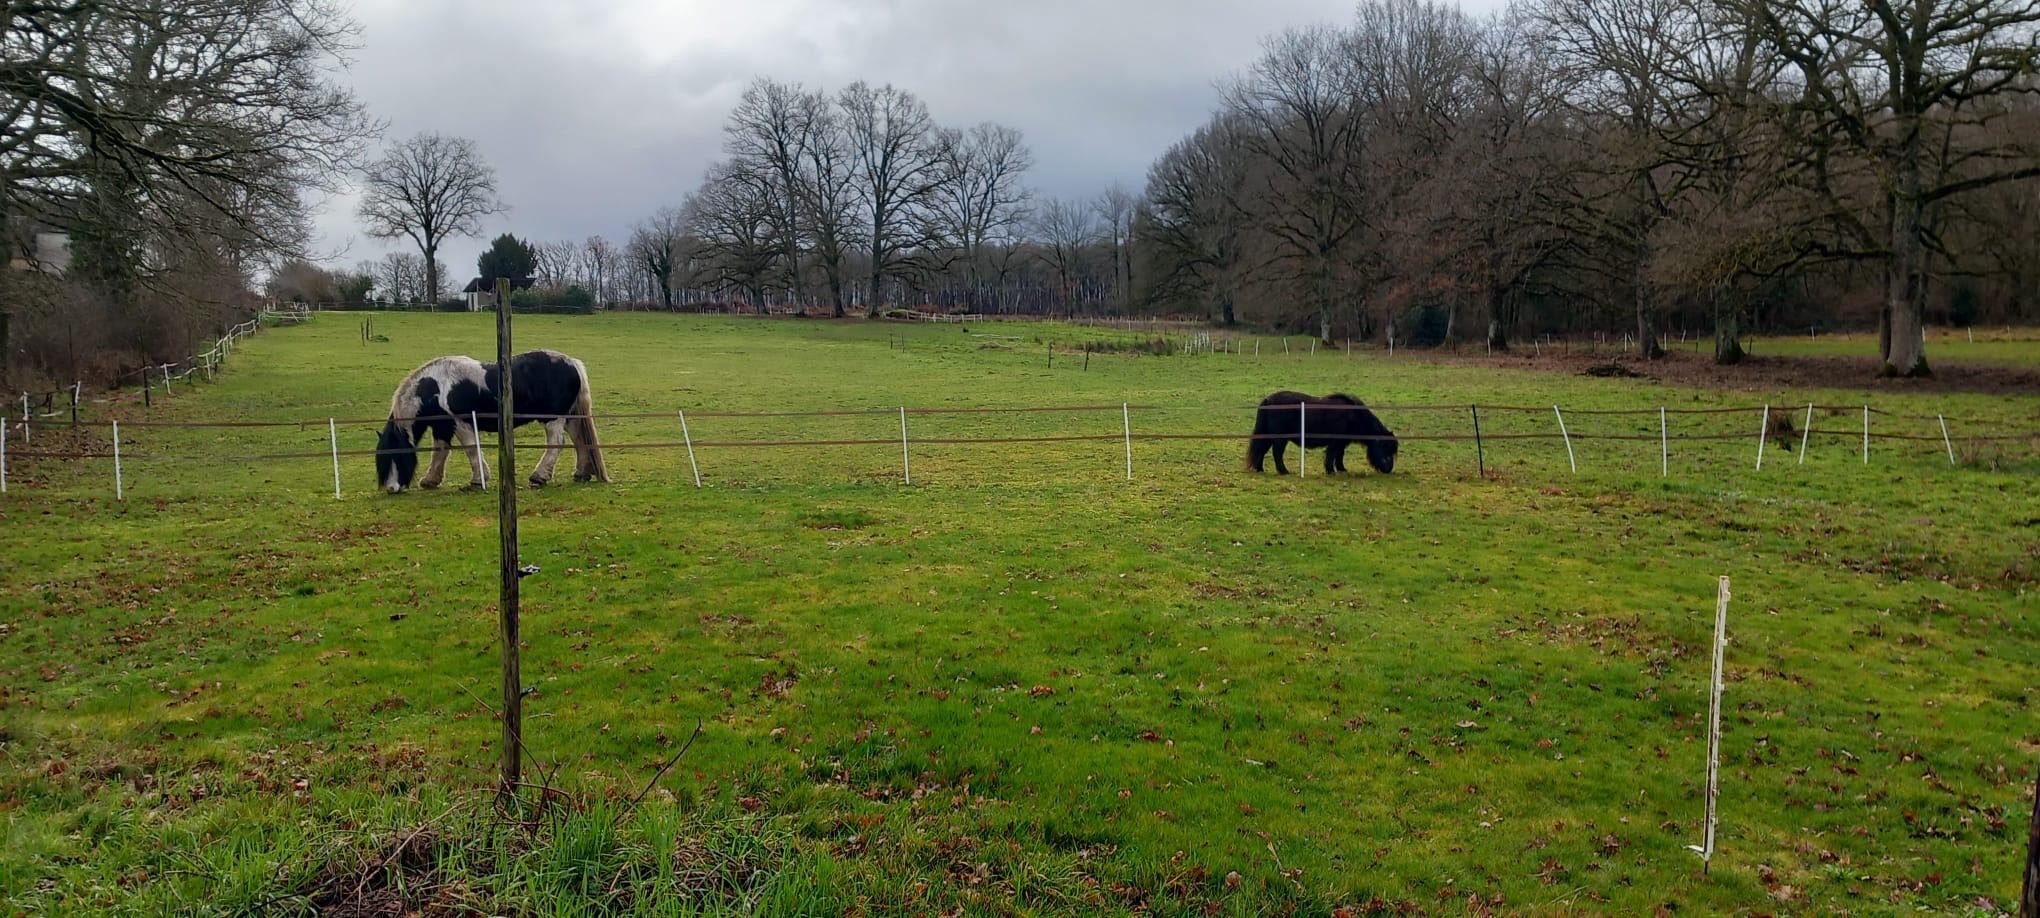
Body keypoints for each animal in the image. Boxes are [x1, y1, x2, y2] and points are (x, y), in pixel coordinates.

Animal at [376, 349, 609, 493]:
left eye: (396, 455)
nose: (391, 488)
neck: (436, 387)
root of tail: (573, 363)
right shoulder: (443, 427)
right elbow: (440, 452)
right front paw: (430, 480)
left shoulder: (461, 422)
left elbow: (471, 449)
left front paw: (478, 480)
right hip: (570, 418)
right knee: (579, 441)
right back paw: (581, 474)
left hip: (553, 418)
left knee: (557, 443)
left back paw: (539, 476)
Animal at [1246, 391, 1398, 476]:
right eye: (1385, 447)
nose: (1389, 469)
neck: (1353, 415)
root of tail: (1268, 400)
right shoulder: (1335, 442)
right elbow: (1331, 455)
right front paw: (1331, 471)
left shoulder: (1342, 443)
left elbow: (1339, 455)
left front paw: (1342, 469)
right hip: (1280, 439)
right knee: (1277, 453)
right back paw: (1284, 471)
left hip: (1267, 436)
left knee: (1261, 451)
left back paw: (1260, 469)